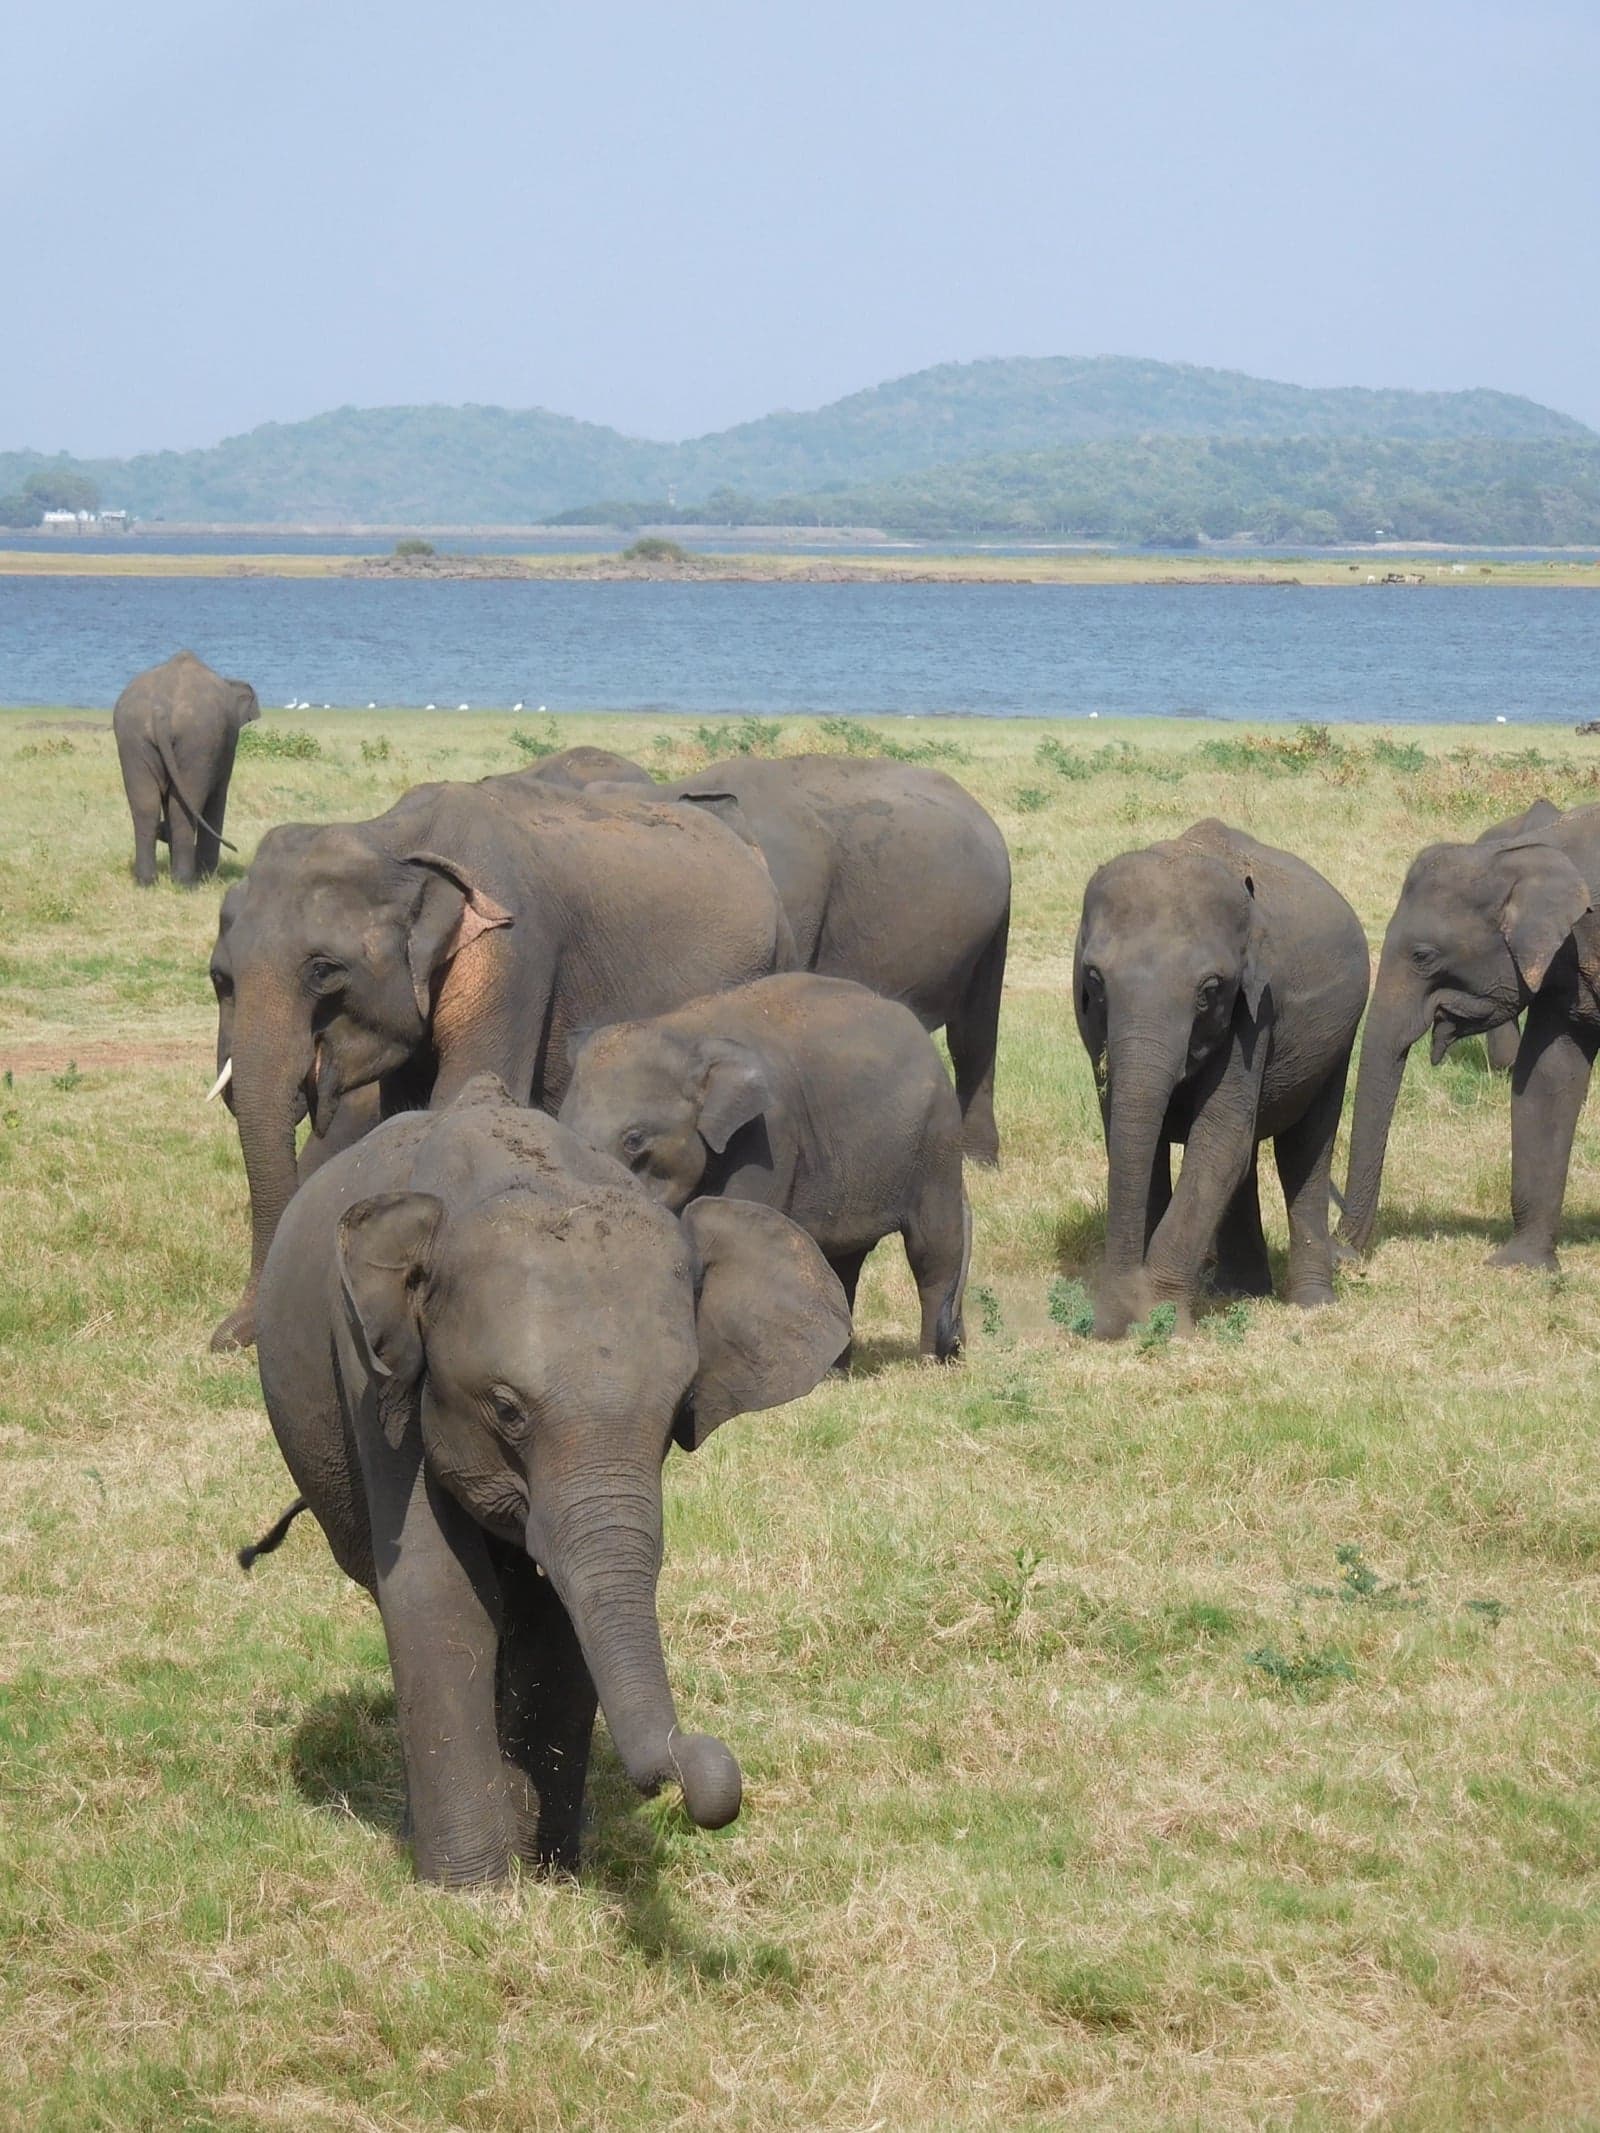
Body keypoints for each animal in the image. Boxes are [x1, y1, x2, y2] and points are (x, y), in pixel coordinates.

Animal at [113, 649, 259, 885]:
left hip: (132, 737)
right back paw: (186, 883)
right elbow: (218, 797)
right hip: (198, 742)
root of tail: (161, 711)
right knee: (183, 808)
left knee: (145, 805)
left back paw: (146, 882)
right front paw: (207, 875)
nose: (162, 832)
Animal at [208, 773, 793, 1353]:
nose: (227, 1339)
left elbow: (462, 1093)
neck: (393, 838)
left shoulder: (512, 954)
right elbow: (406, 1111)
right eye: (220, 977)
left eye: (324, 971)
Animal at [254, 1075, 850, 1885]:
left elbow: (556, 1612)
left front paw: (550, 1875)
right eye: (506, 1410)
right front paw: (471, 1891)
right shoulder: (374, 1378)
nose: (703, 1768)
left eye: (677, 1411)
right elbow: (441, 1593)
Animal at [560, 972, 971, 1360]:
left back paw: (927, 1360)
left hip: (936, 1143)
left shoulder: (769, 1134)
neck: (684, 1033)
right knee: (844, 1262)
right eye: (562, 1125)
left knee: (933, 1247)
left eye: (634, 1139)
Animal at [1074, 818, 1369, 1340]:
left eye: (1209, 991)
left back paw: (1311, 1305)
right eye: (1094, 979)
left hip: (1339, 1040)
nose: (1106, 1327)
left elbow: (1216, 1143)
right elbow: (1136, 1139)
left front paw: (1164, 1323)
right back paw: (1242, 1292)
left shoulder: (1256, 1010)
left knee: (1304, 1148)